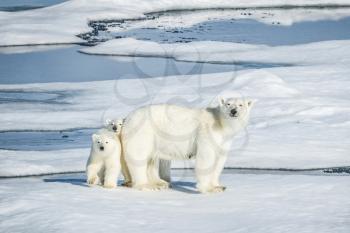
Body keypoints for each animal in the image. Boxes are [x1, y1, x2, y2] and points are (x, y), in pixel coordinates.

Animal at [121, 96, 253, 193]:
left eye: (240, 105)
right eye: (228, 104)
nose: (233, 111)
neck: (220, 123)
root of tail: (128, 118)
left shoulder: (224, 140)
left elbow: (219, 160)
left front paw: (218, 186)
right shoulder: (206, 132)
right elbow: (206, 157)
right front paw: (208, 188)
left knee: (151, 159)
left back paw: (160, 183)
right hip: (144, 132)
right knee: (139, 155)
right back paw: (146, 185)